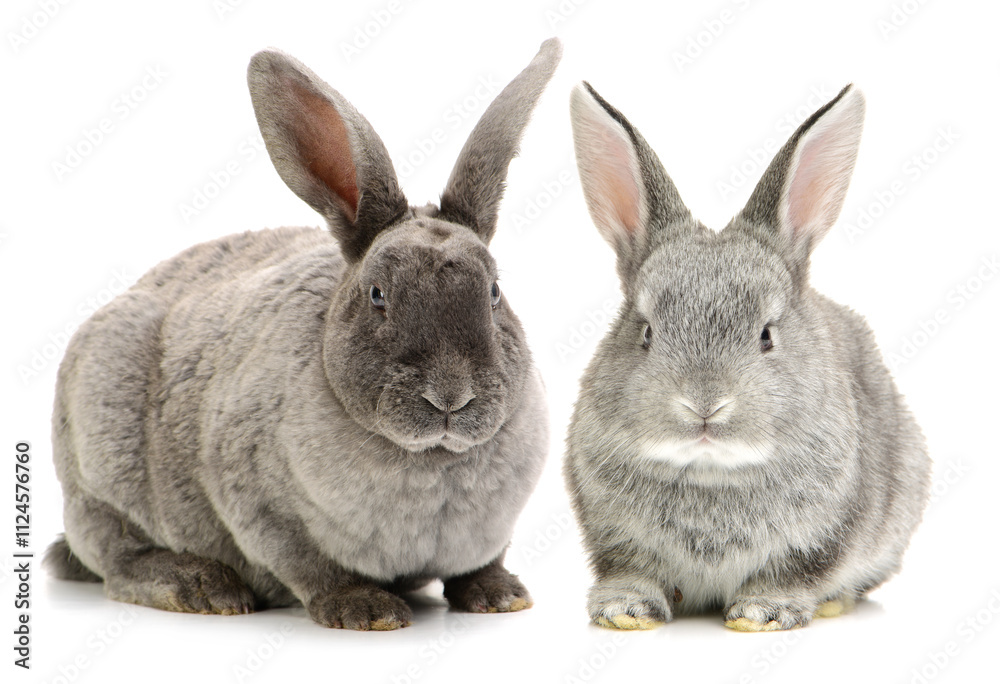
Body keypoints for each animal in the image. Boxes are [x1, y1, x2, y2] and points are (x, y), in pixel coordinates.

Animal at [43, 38, 561, 631]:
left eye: (494, 292)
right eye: (378, 294)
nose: (450, 397)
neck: (433, 459)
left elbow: (479, 566)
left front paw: (501, 596)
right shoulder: (262, 508)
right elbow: (312, 569)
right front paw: (368, 611)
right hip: (99, 476)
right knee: (117, 559)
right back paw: (202, 587)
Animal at [564, 81, 931, 632]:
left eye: (766, 336)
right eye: (645, 332)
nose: (704, 405)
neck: (711, 471)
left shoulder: (815, 540)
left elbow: (791, 573)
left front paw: (762, 613)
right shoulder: (619, 542)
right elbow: (632, 572)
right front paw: (624, 611)